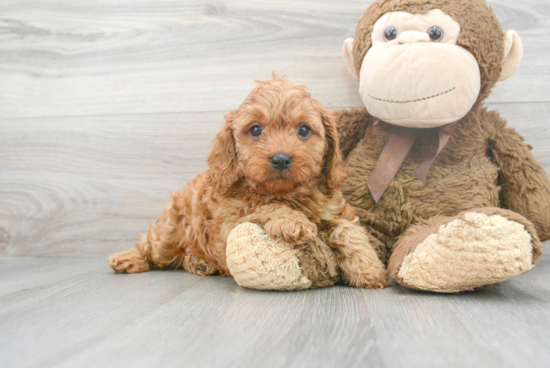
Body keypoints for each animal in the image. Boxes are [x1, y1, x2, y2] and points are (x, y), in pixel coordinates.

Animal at [109, 77, 388, 290]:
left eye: (304, 130)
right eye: (255, 130)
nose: (281, 159)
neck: (289, 194)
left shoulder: (335, 210)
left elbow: (349, 231)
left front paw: (368, 269)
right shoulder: (230, 219)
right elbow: (263, 205)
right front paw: (292, 221)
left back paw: (199, 263)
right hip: (169, 233)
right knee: (150, 246)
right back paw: (127, 258)